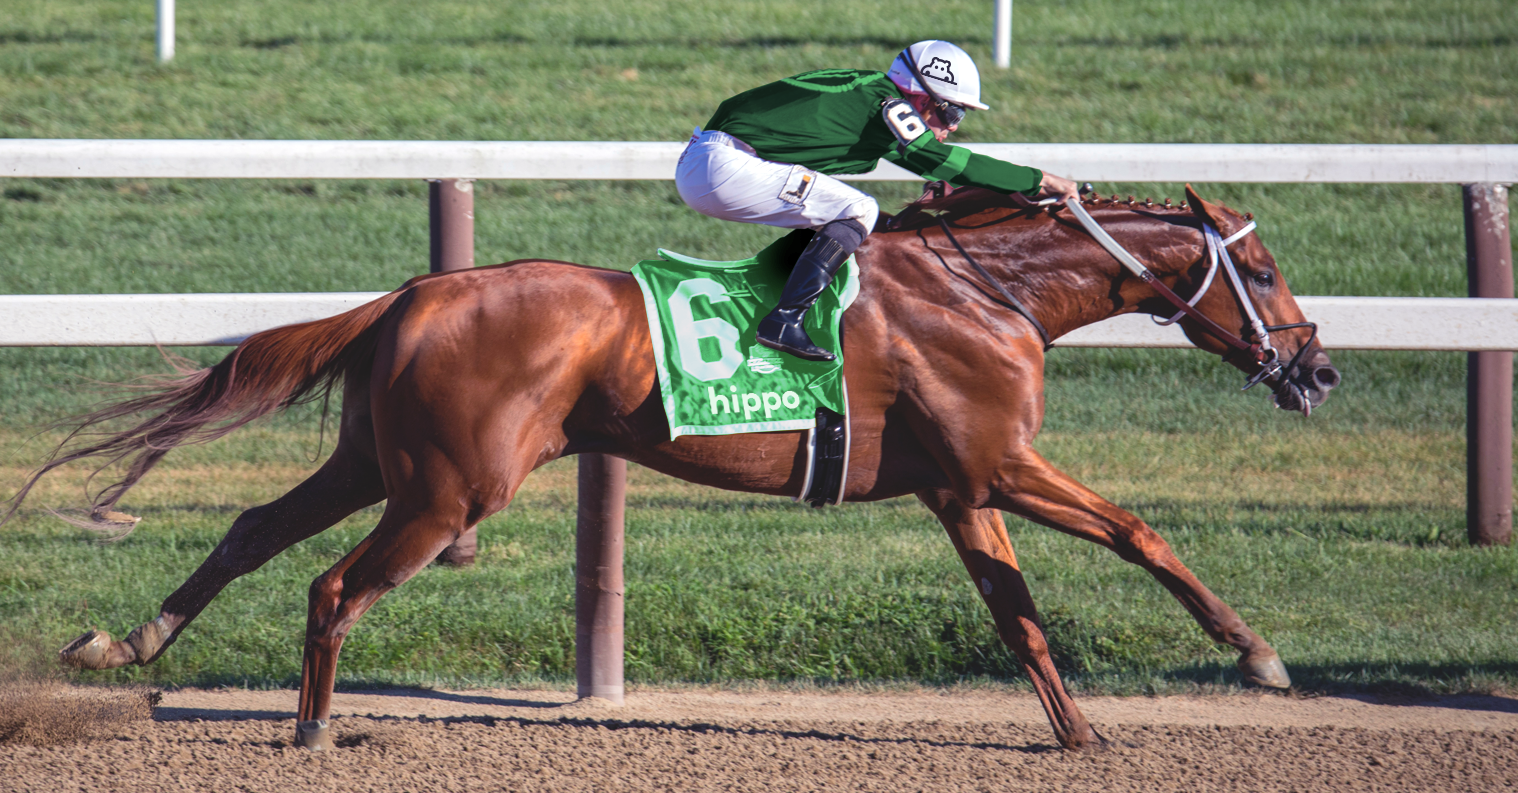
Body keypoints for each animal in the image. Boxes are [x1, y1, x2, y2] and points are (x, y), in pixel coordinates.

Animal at [14, 183, 1341, 747]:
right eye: (1265, 269)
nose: (1318, 369)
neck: (989, 290)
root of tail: (415, 293)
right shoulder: (1000, 466)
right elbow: (1139, 532)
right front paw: (1259, 654)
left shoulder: (964, 488)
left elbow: (1017, 616)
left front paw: (1078, 736)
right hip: (449, 488)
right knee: (335, 586)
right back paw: (310, 733)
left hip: (378, 464)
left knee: (252, 526)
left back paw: (124, 642)